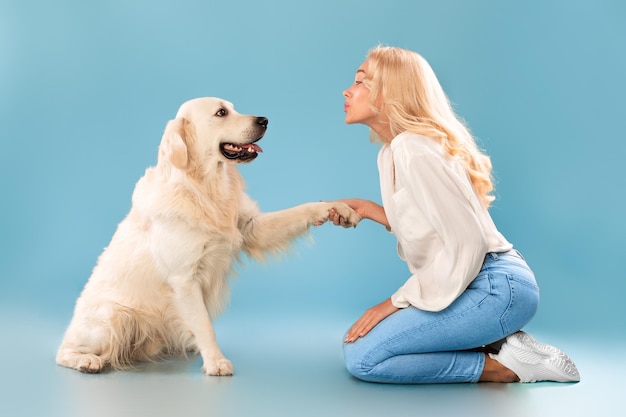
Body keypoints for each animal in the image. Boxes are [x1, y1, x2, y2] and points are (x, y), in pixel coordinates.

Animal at [58, 96, 360, 374]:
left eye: (234, 108)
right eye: (221, 112)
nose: (264, 120)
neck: (206, 186)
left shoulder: (252, 227)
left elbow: (301, 209)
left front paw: (339, 209)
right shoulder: (185, 279)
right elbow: (205, 325)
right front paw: (216, 361)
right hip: (114, 317)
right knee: (64, 352)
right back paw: (87, 360)